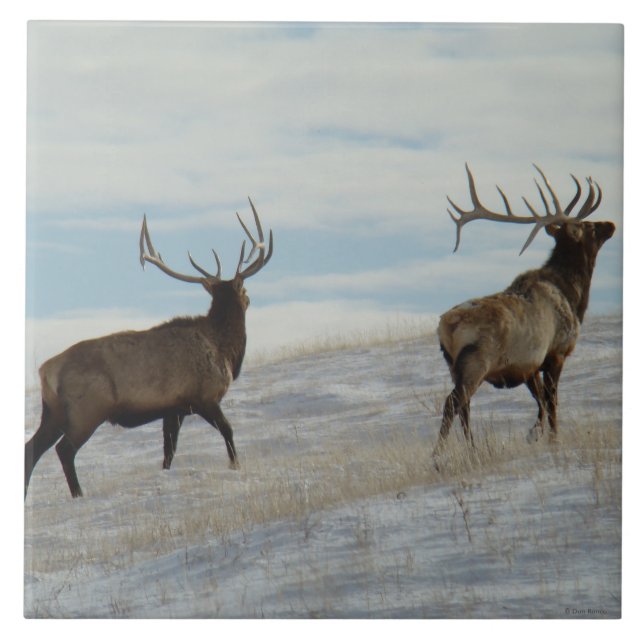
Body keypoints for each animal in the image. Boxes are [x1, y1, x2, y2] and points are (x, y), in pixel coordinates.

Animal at [25, 199, 273, 498]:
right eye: (244, 289)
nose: (249, 298)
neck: (225, 350)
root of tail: (46, 371)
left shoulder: (173, 408)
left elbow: (169, 451)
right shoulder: (204, 397)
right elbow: (228, 430)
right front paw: (235, 465)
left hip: (53, 412)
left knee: (30, 449)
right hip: (88, 409)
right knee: (64, 450)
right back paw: (78, 494)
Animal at [434, 164, 615, 456]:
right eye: (588, 226)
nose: (610, 224)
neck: (574, 296)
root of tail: (446, 327)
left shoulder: (528, 364)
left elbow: (540, 401)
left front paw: (534, 434)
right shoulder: (556, 352)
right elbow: (552, 401)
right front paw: (552, 438)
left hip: (453, 365)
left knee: (464, 406)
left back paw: (472, 449)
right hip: (476, 361)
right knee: (454, 402)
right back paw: (438, 455)